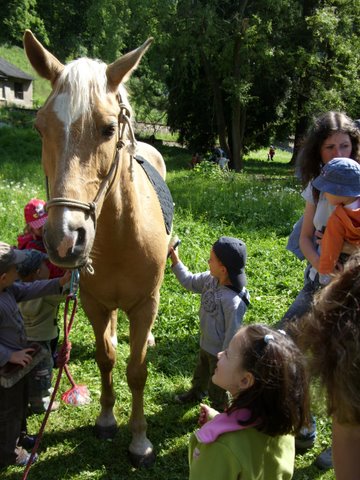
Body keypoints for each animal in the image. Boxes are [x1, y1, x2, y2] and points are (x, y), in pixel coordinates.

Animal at [23, 29, 172, 464]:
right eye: (40, 128)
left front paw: (139, 439)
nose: (64, 238)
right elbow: (107, 359)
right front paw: (106, 420)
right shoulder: (92, 302)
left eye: (108, 129)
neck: (121, 236)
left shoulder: (145, 305)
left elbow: (137, 371)